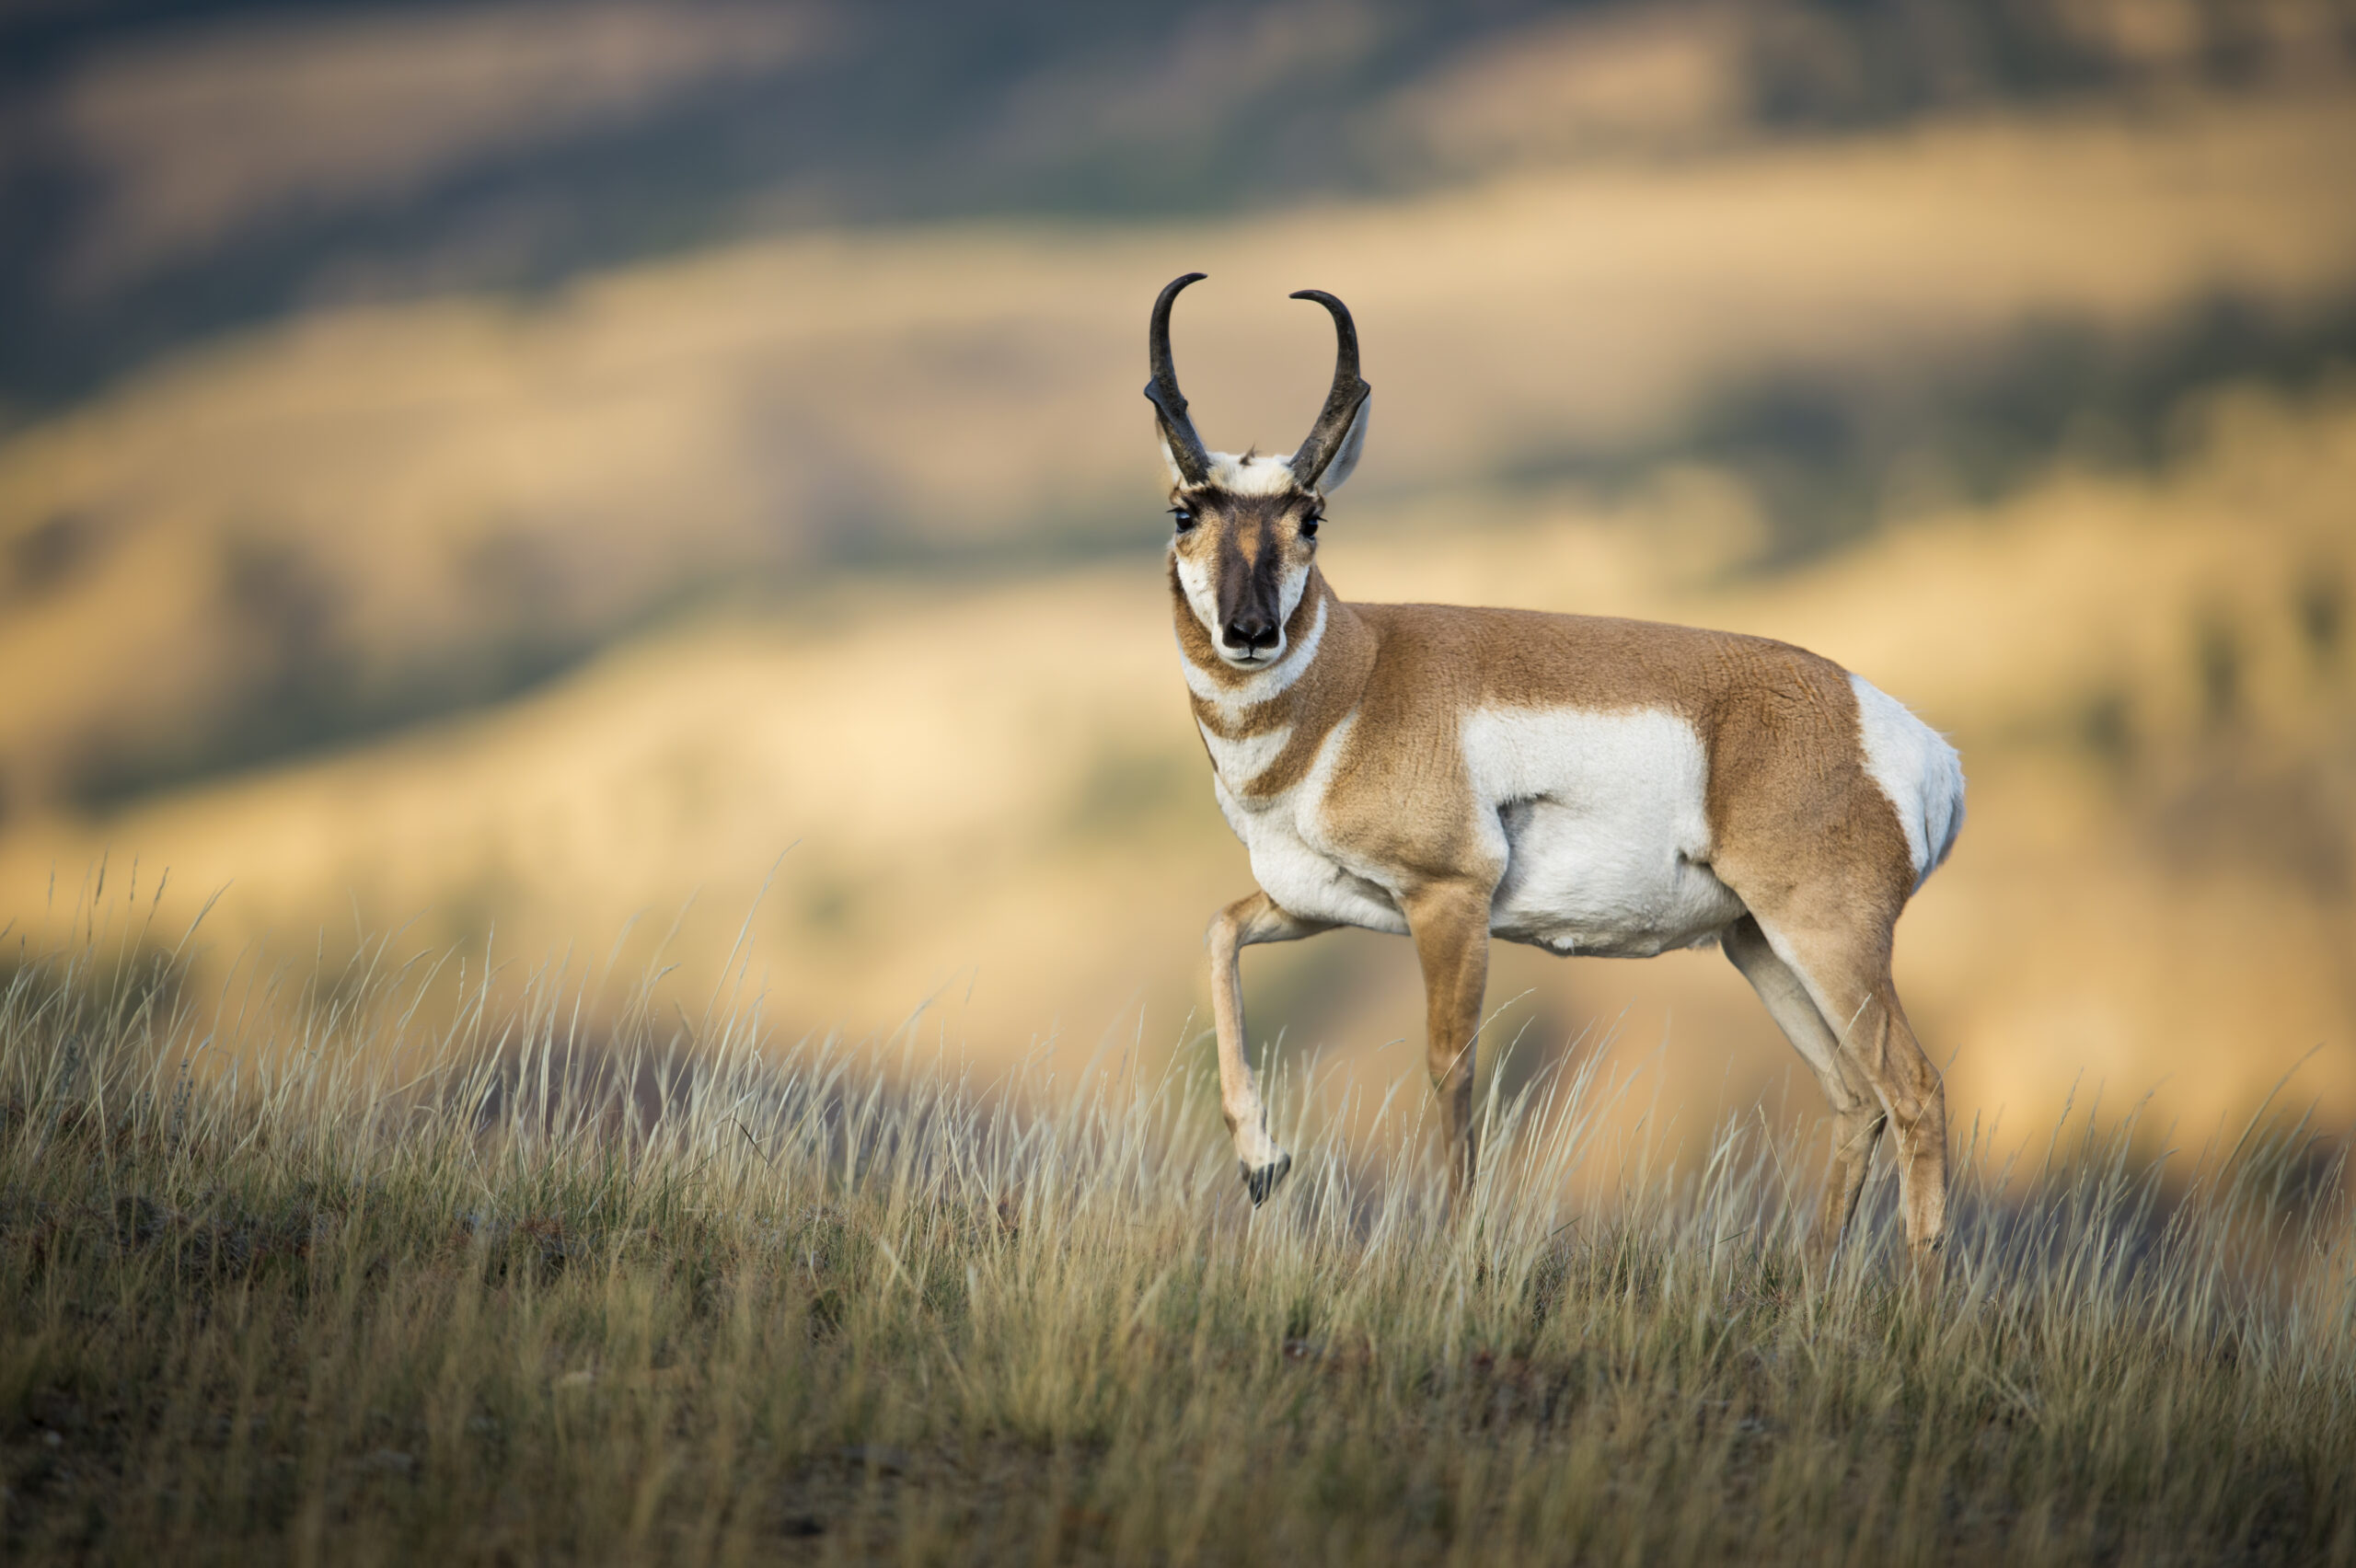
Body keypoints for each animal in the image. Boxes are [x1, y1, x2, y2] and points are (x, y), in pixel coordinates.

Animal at [1149, 274, 1959, 1262]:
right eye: (1184, 512)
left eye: (1311, 516)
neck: (1360, 675)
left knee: (1914, 1091)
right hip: (1761, 944)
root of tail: (1904, 736)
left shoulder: (1449, 900)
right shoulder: (1323, 900)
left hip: (1830, 939)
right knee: (1854, 1099)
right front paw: (1263, 1164)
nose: (1252, 632)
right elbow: (1220, 931)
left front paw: (1456, 1247)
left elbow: (1452, 1067)